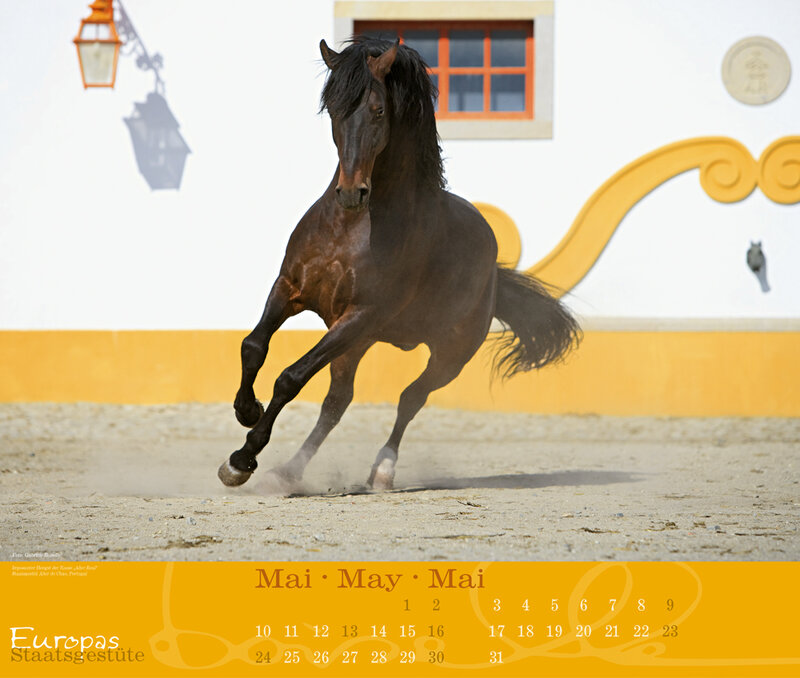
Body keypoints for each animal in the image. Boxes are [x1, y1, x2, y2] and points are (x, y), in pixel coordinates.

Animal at [218, 37, 580, 491]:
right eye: (334, 110)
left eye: (377, 110)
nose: (351, 192)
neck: (351, 226)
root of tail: (493, 271)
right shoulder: (290, 289)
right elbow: (254, 346)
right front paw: (246, 410)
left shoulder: (361, 314)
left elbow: (290, 377)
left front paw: (241, 459)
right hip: (357, 342)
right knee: (338, 402)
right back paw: (288, 472)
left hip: (448, 353)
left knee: (411, 398)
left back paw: (382, 471)